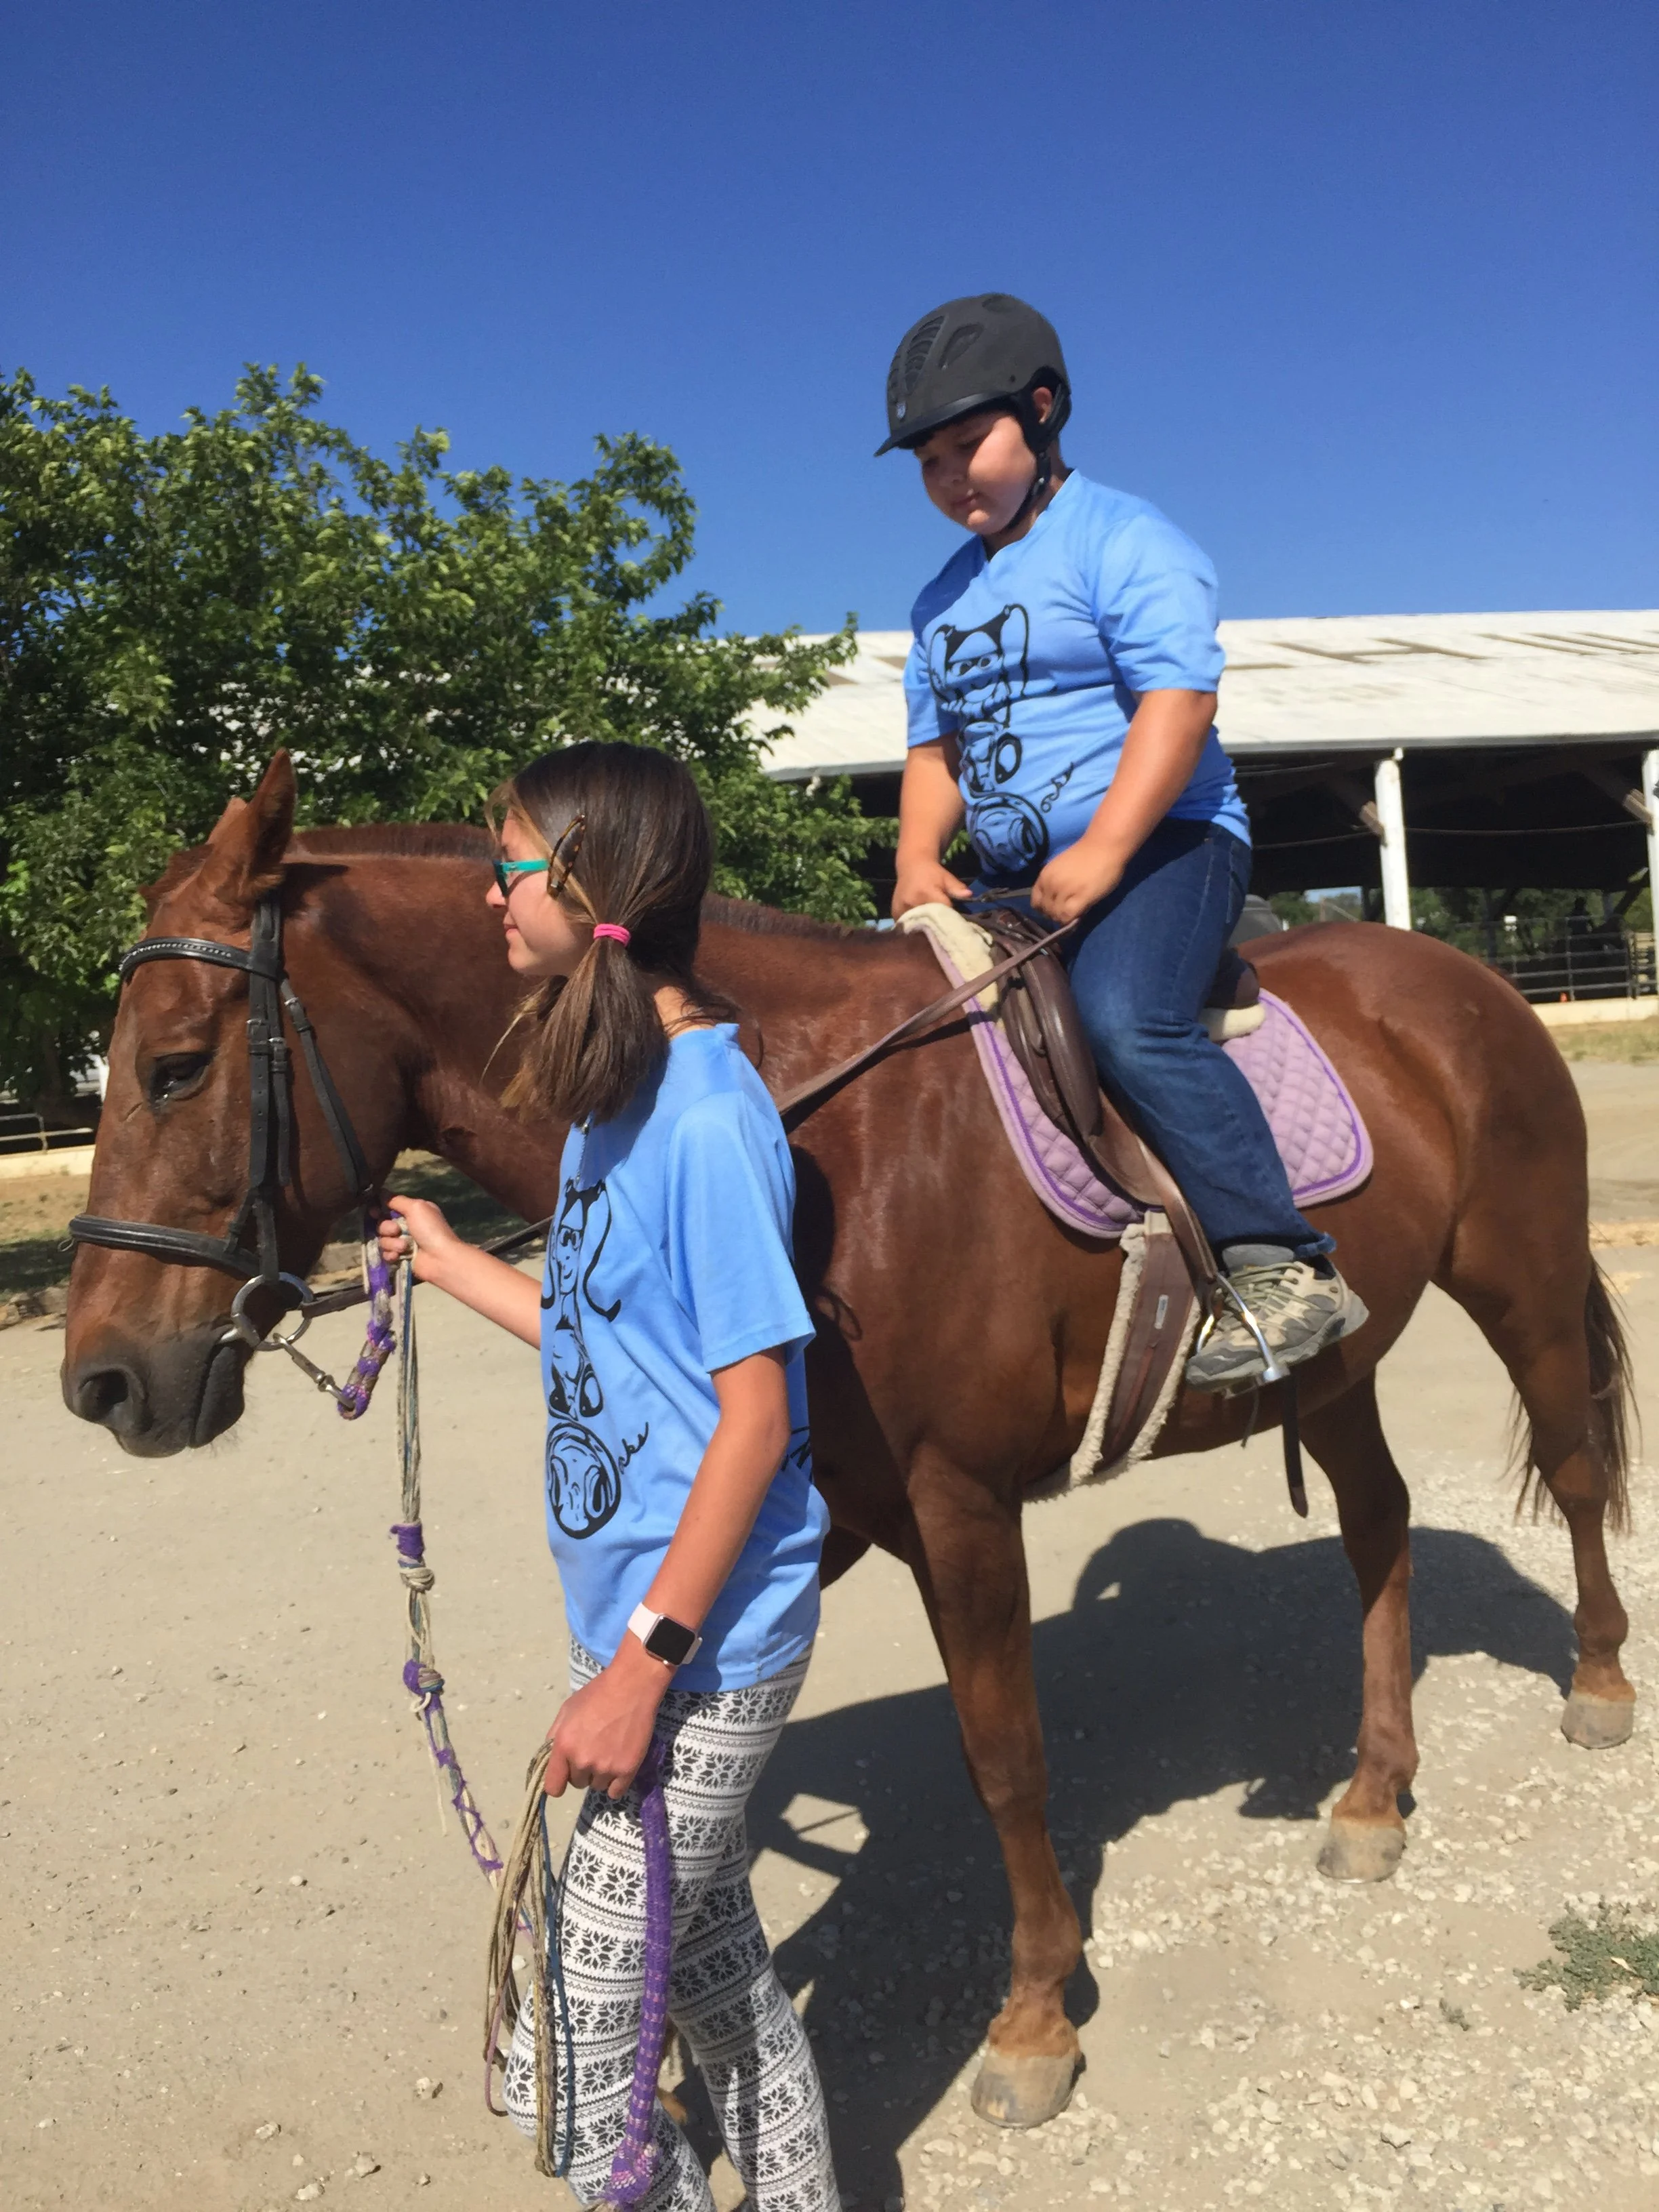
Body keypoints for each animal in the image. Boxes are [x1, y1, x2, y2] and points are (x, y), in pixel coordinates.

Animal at [62, 754, 1637, 2130]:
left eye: (176, 1066)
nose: (103, 1381)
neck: (808, 1123)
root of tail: (1461, 980)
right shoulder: (807, 1507)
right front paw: (665, 2072)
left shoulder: (956, 1504)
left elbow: (1003, 1756)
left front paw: (1032, 2020)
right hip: (1343, 1366)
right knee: (1377, 1523)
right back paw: (1371, 1795)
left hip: (1520, 1280)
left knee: (1569, 1466)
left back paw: (1599, 1684)